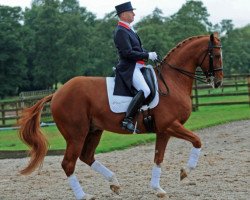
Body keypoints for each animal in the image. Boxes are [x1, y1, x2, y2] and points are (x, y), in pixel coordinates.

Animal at [19, 32, 223, 198]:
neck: (173, 81)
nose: (219, 82)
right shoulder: (171, 125)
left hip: (94, 130)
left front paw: (157, 189)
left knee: (86, 157)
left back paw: (114, 183)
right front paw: (185, 172)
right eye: (216, 55)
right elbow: (197, 141)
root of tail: (57, 93)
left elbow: (158, 158)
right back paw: (84, 195)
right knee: (68, 163)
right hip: (76, 134)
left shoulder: (164, 131)